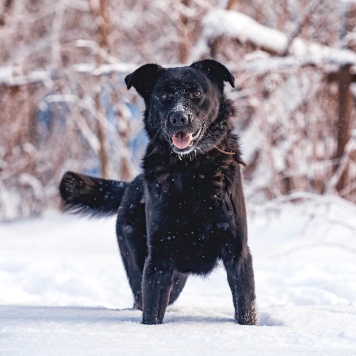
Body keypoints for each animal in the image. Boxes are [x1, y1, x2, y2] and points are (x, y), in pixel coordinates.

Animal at [59, 59, 258, 326]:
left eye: (197, 93)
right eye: (164, 96)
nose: (178, 118)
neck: (191, 171)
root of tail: (130, 185)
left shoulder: (238, 253)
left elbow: (246, 308)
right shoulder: (158, 259)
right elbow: (152, 312)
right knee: (141, 299)